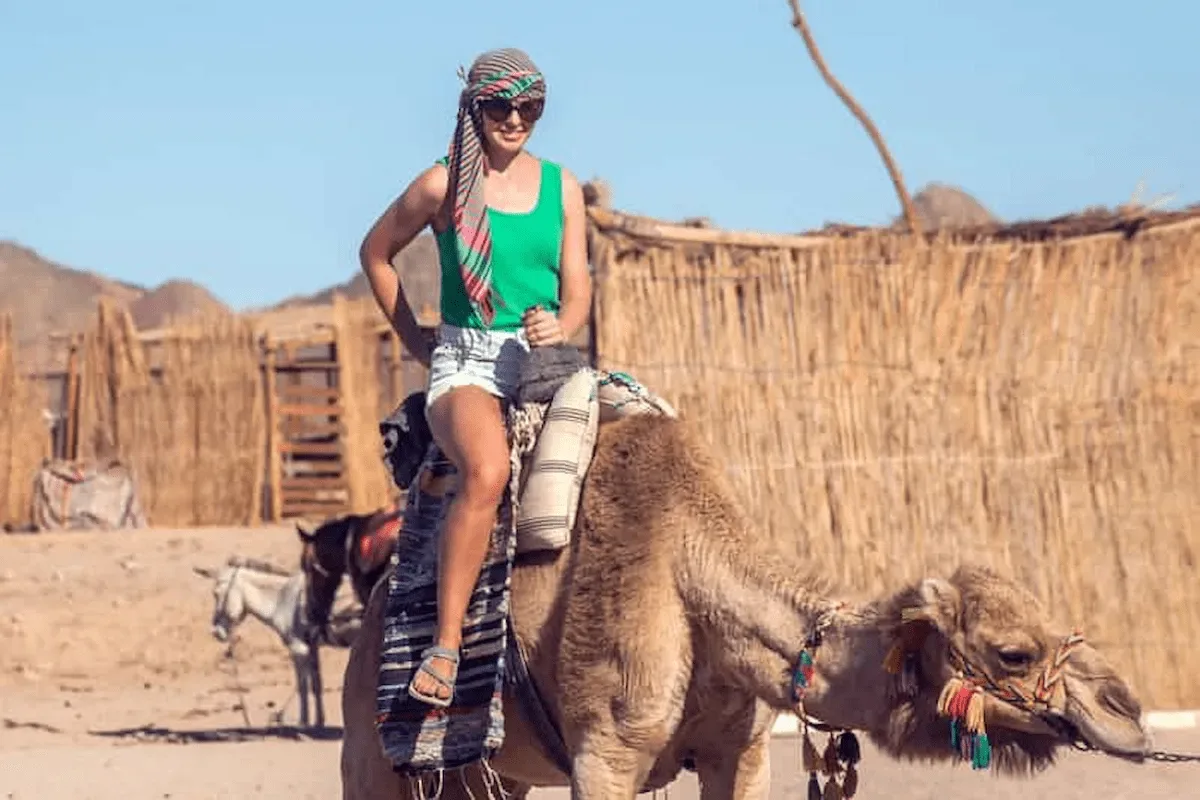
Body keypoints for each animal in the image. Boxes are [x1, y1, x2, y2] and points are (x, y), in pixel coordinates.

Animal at [337, 412, 1153, 800]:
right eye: (1013, 652)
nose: (1128, 711)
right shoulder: (604, 752)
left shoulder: (742, 752)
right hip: (370, 750)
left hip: (491, 769)